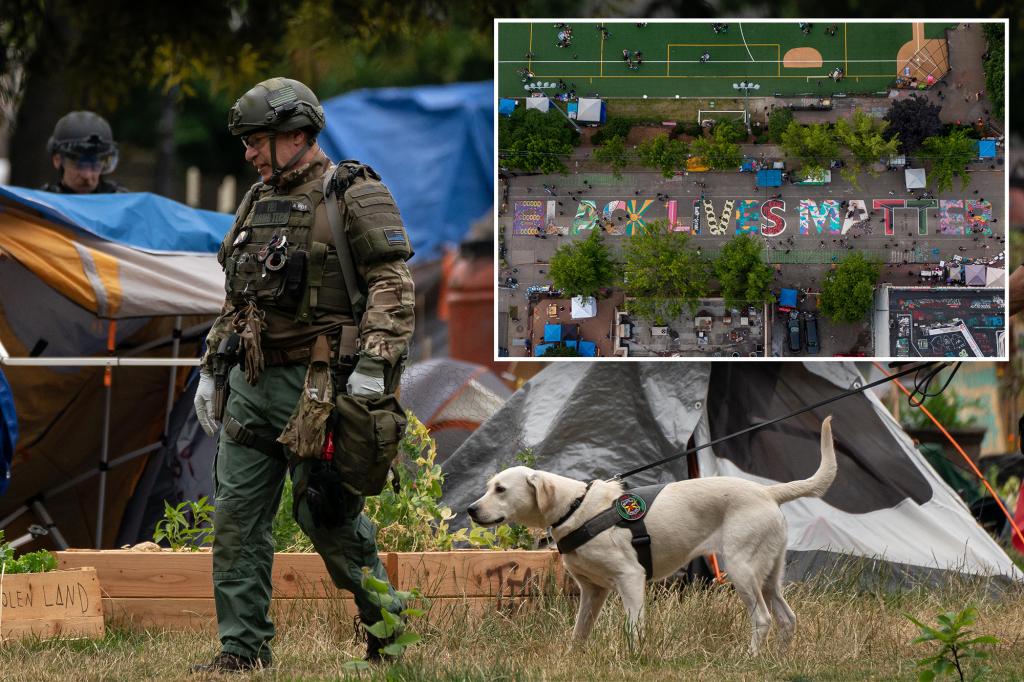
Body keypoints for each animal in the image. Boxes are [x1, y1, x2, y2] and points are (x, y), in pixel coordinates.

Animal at [468, 411, 835, 651]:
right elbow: (579, 632)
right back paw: (778, 660)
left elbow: (634, 628)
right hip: (769, 576)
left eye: (500, 489)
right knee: (787, 619)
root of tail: (767, 492)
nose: (471, 509)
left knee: (763, 619)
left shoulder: (630, 578)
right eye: (487, 486)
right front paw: (573, 658)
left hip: (742, 570)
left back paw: (749, 658)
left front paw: (634, 657)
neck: (576, 507)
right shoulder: (593, 591)